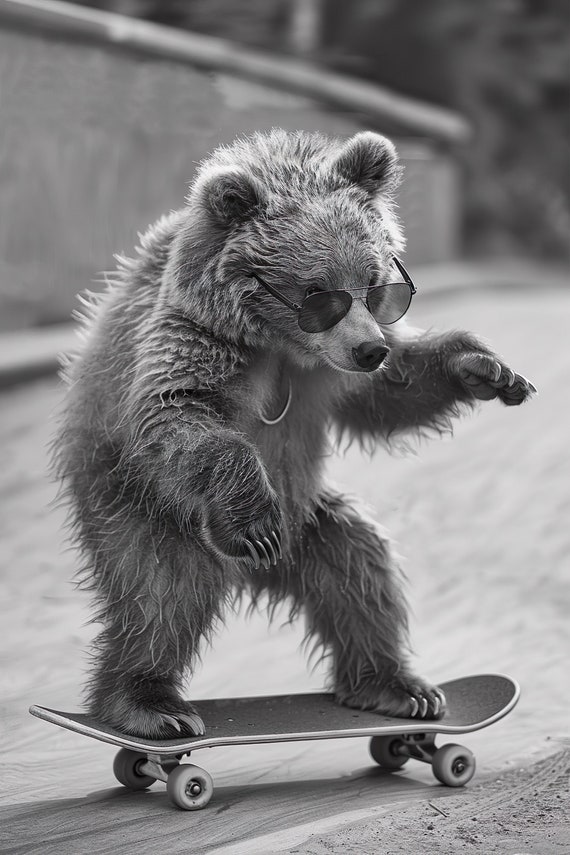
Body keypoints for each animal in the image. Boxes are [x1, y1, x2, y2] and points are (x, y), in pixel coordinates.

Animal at [55, 129, 536, 738]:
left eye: (375, 283)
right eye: (319, 293)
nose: (369, 348)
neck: (282, 346)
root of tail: (251, 576)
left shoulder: (330, 379)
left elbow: (388, 397)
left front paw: (484, 368)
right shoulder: (195, 341)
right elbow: (176, 413)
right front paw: (255, 519)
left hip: (310, 521)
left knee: (359, 568)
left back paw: (396, 686)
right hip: (144, 504)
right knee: (161, 594)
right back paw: (148, 705)